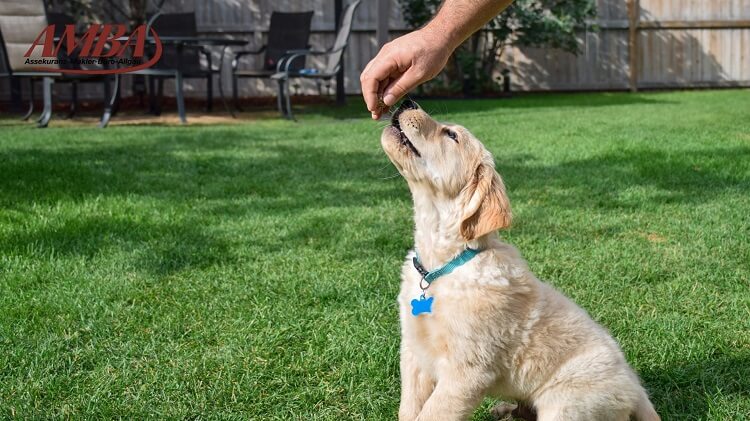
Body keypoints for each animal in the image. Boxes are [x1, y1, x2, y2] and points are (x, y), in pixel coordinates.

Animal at [382, 99, 656, 420]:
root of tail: (636, 389)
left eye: (451, 135)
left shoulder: (467, 371)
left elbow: (431, 414)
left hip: (566, 404)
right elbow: (409, 408)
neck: (442, 265)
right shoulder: (413, 353)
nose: (407, 101)